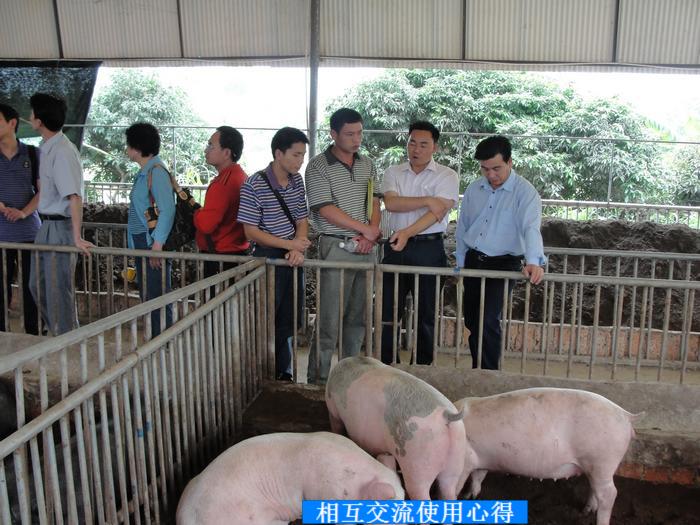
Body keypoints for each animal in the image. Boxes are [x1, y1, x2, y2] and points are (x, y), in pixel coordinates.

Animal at [325, 356, 467, 500]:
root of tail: (447, 415)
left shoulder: (333, 411)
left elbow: (337, 427)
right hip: (456, 461)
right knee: (449, 490)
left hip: (417, 463)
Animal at [454, 387, 642, 525]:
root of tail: (626, 416)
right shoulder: (480, 459)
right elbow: (477, 477)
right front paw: (470, 496)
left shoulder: (464, 460)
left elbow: (458, 483)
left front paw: (459, 499)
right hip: (595, 466)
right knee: (596, 489)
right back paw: (585, 511)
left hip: (601, 460)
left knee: (609, 494)